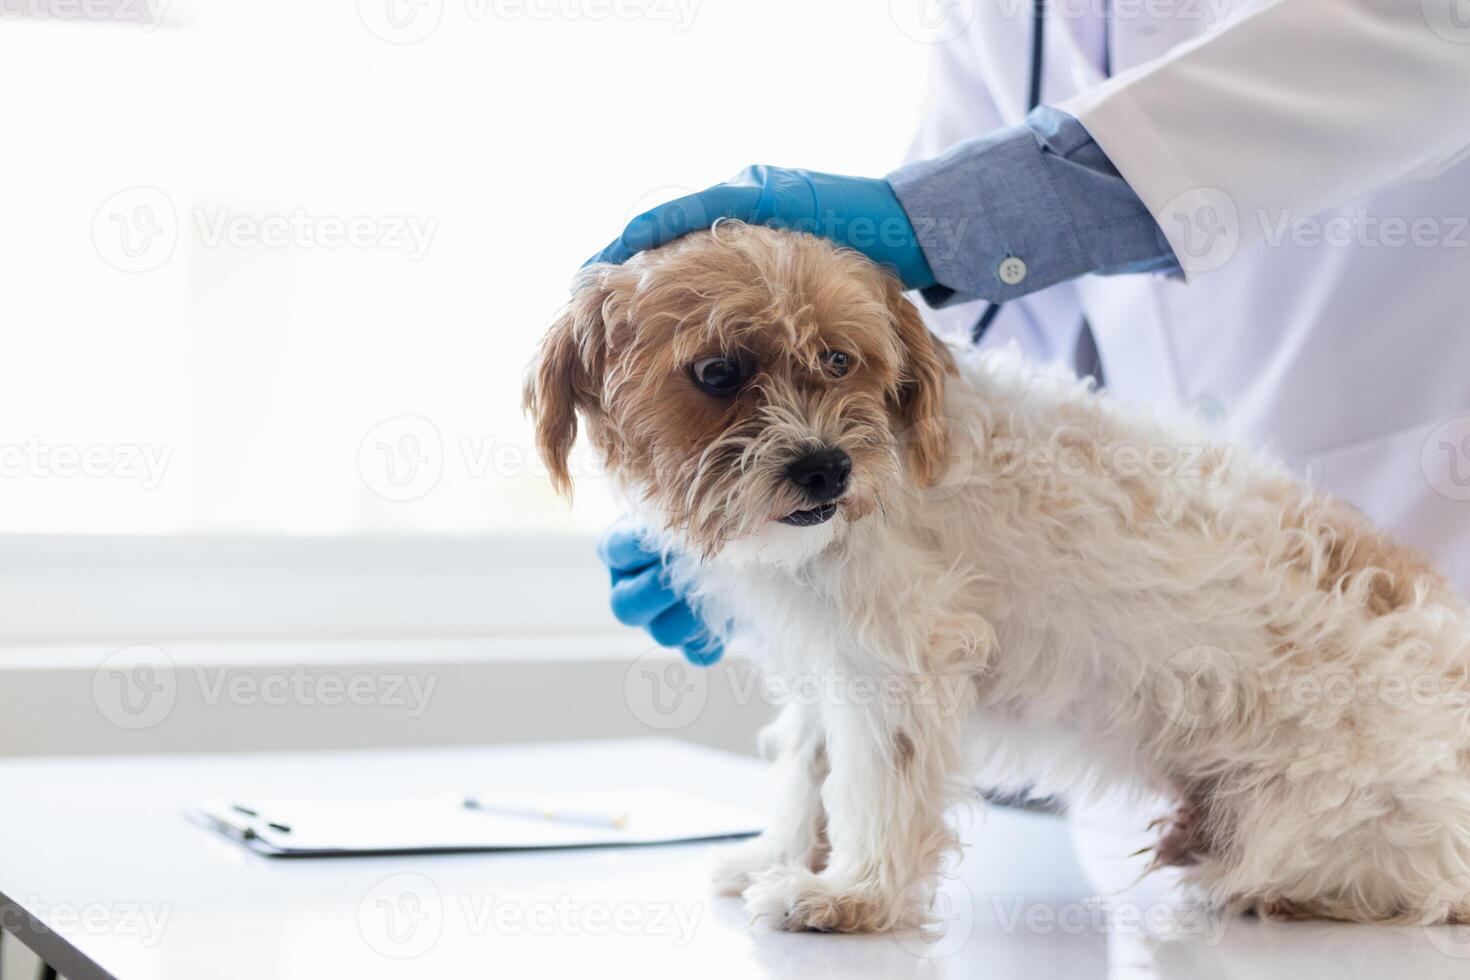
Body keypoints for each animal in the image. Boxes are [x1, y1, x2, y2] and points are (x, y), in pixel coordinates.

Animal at [526, 224, 1470, 934]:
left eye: (839, 362)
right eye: (718, 372)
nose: (827, 468)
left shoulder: (900, 658)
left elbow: (878, 779)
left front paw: (852, 894)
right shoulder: (830, 658)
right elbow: (809, 767)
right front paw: (780, 855)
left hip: (1318, 825)